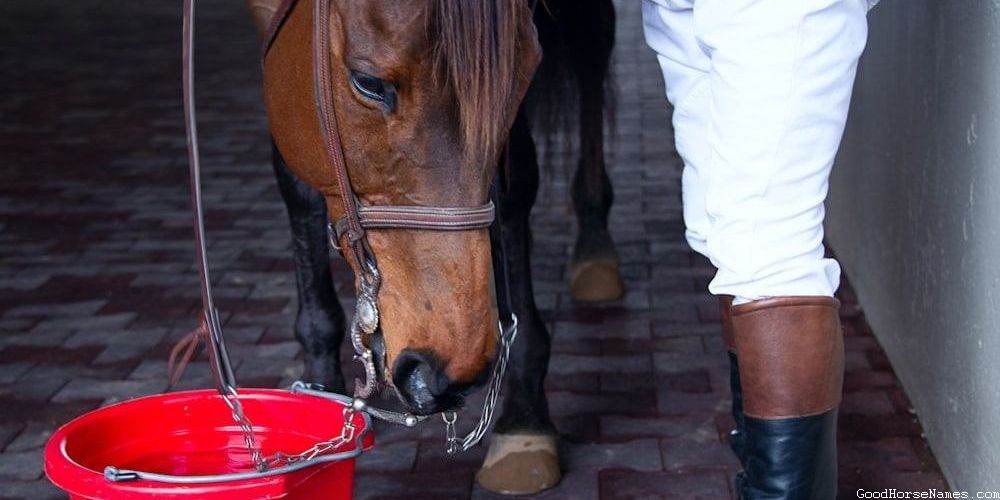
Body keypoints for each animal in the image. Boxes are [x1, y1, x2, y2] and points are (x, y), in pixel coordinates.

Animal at [245, 0, 616, 494]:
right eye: (367, 82)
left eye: (526, 72)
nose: (446, 374)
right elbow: (297, 184)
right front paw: (320, 393)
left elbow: (512, 185)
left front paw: (525, 419)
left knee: (594, 46)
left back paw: (595, 239)